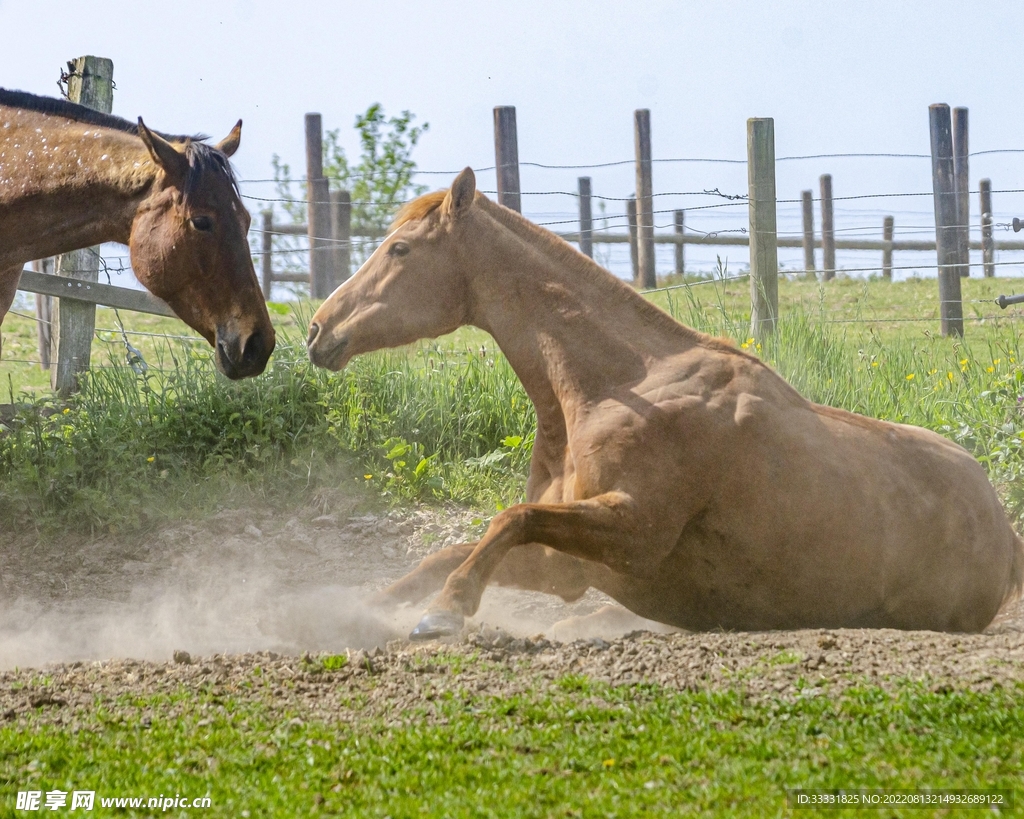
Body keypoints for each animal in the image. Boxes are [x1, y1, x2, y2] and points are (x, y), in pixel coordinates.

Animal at [306, 167, 1024, 640]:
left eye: (399, 248)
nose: (317, 330)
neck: (624, 386)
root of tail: (1003, 530)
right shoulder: (567, 565)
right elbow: (454, 548)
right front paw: (358, 609)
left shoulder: (635, 532)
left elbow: (511, 517)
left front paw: (446, 611)